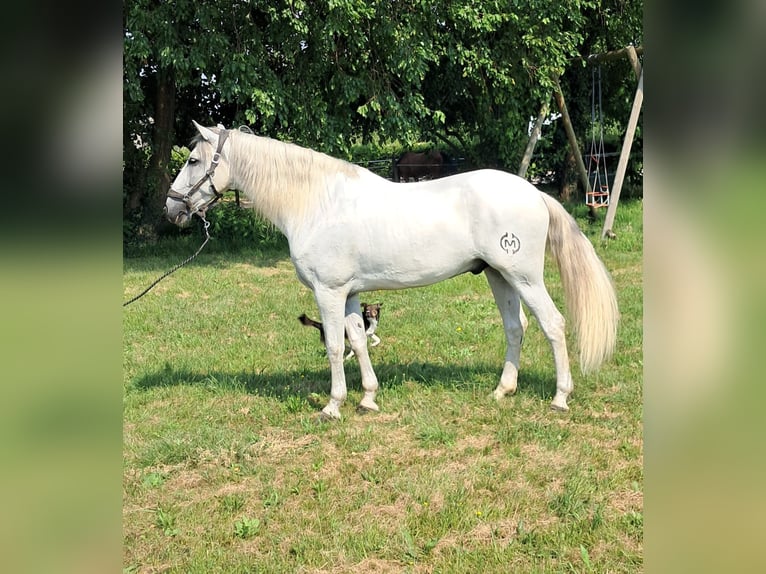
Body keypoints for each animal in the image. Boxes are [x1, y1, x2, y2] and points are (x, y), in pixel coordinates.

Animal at [165, 121, 620, 420]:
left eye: (192, 160)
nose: (171, 209)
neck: (317, 202)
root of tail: (534, 192)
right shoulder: (349, 294)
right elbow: (357, 342)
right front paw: (368, 398)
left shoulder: (328, 291)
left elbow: (334, 347)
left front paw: (333, 406)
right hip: (498, 276)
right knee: (516, 327)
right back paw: (502, 390)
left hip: (523, 277)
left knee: (553, 324)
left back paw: (560, 397)